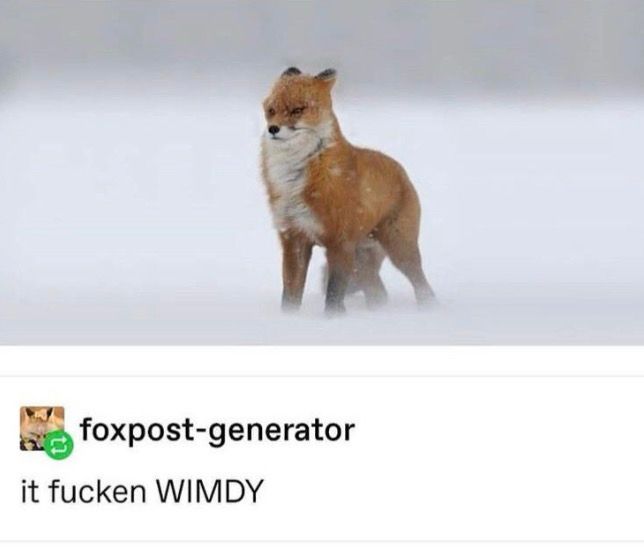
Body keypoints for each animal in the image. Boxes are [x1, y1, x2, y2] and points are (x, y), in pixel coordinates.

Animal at [261, 67, 434, 314]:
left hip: (399, 249)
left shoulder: (339, 242)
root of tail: (402, 171)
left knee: (422, 286)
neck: (296, 179)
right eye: (271, 110)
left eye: (297, 110)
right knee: (379, 294)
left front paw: (333, 320)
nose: (272, 129)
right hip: (361, 262)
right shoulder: (294, 238)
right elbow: (290, 295)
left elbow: (334, 295)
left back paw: (429, 310)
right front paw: (289, 319)